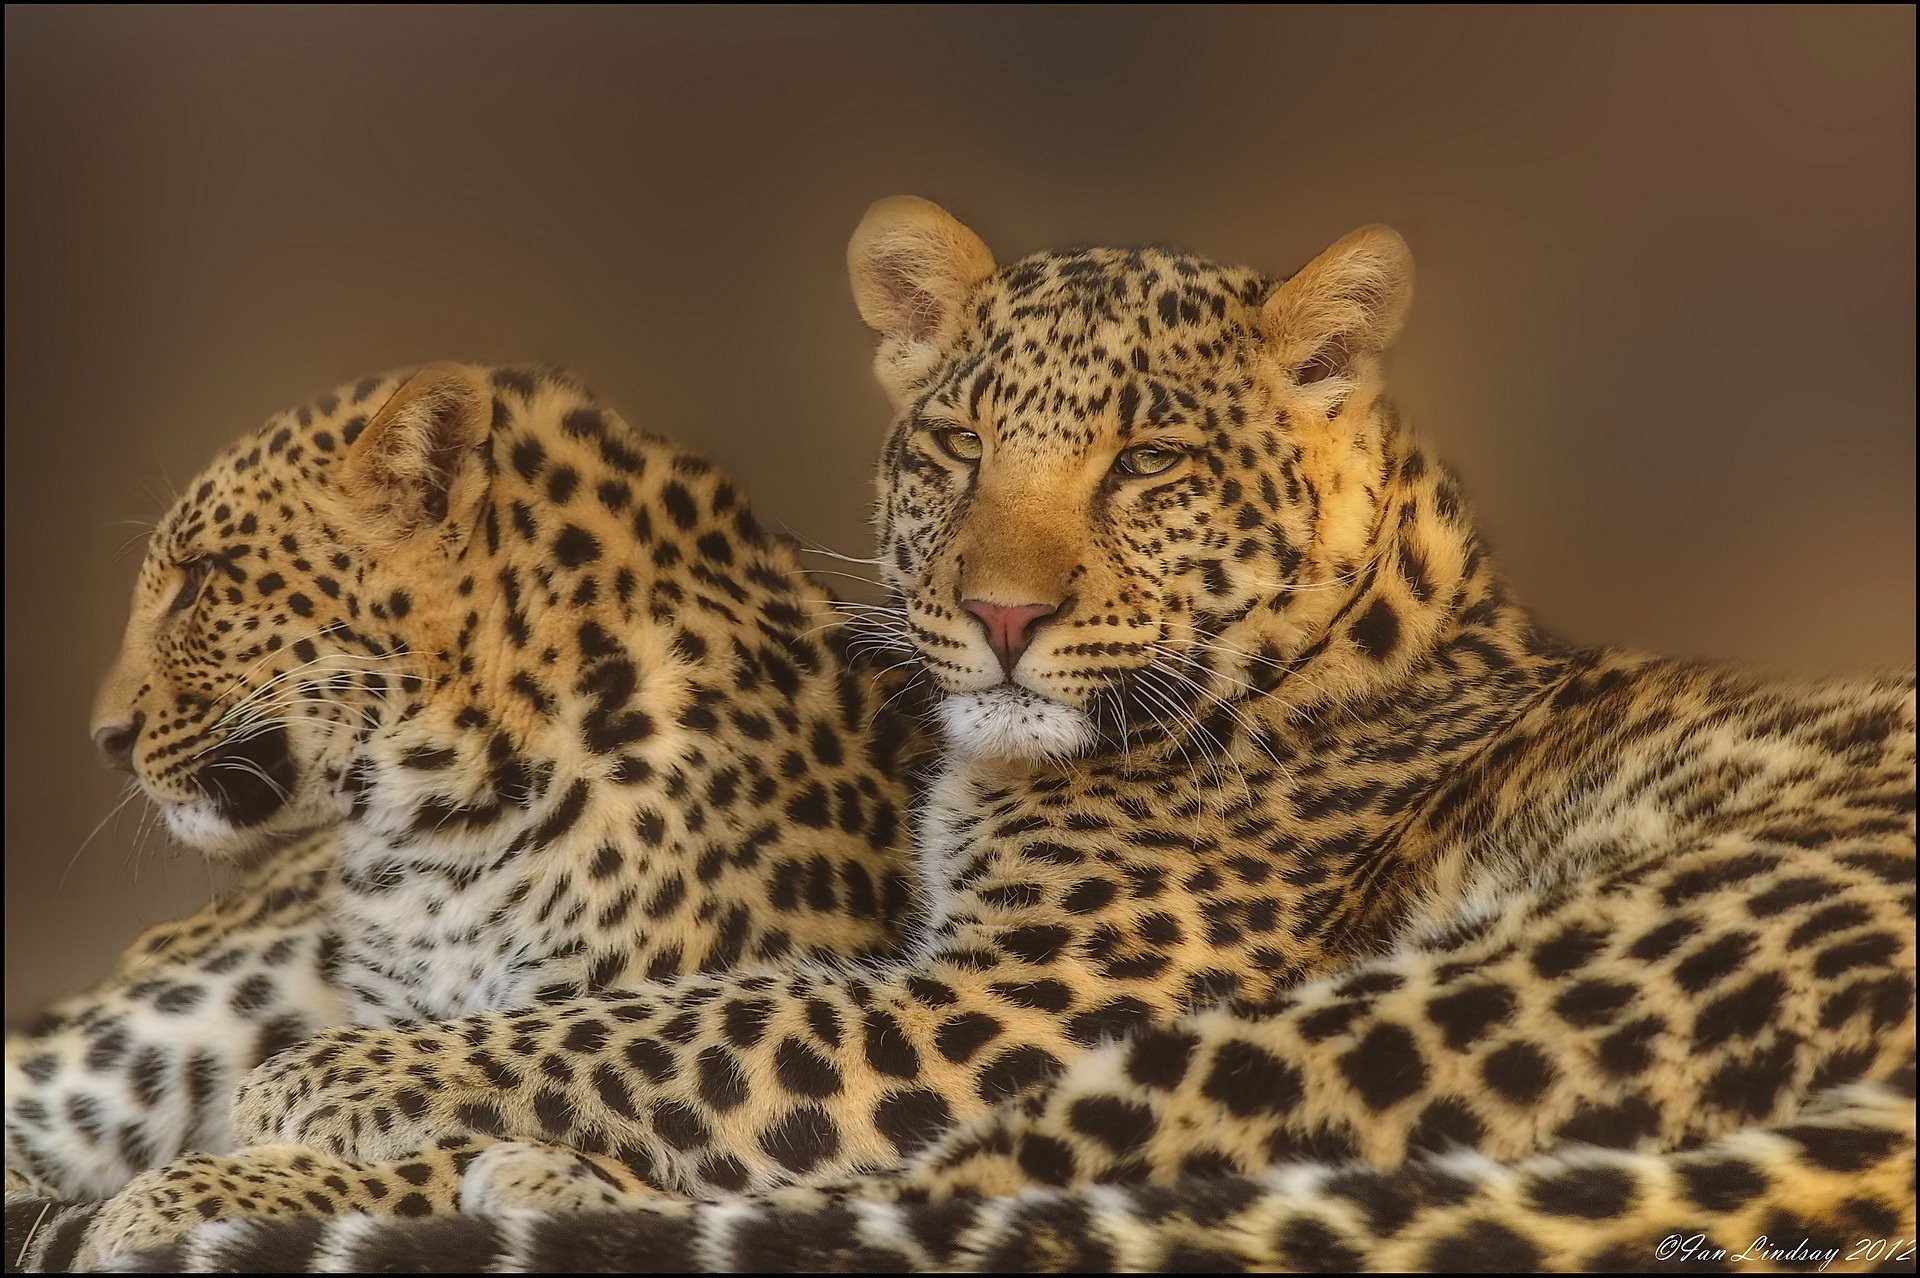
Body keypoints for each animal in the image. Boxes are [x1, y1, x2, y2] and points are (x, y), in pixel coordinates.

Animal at [13, 197, 1916, 1272]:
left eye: (1149, 463)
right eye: (955, 445)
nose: (995, 617)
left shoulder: (1013, 993)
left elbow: (668, 1023)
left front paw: (323, 1092)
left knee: (1024, 1197)